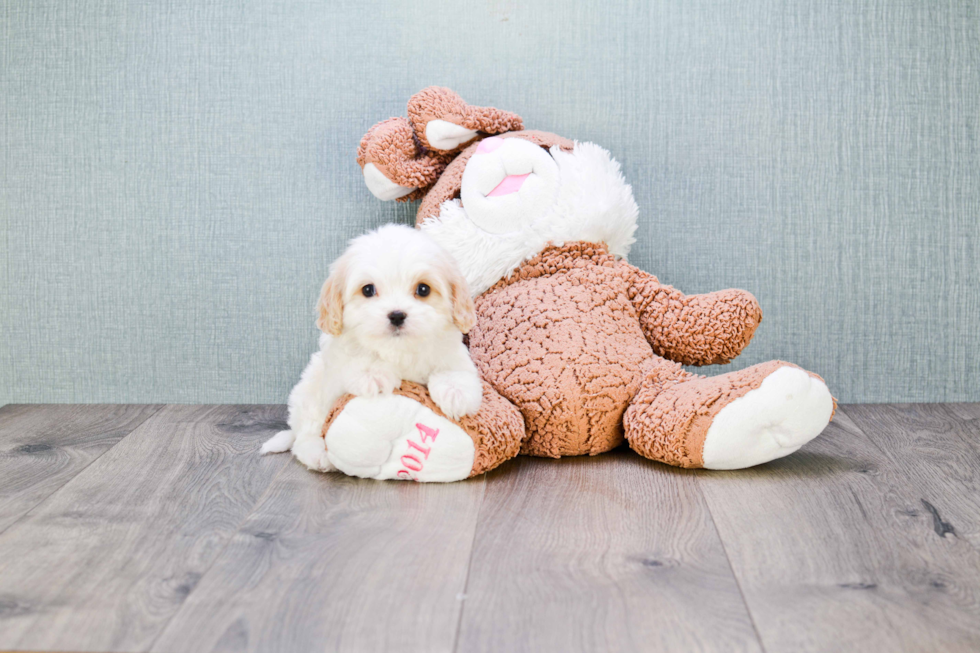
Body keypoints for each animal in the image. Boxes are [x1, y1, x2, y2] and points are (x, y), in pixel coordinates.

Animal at [262, 222, 484, 472]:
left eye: (423, 289)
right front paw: (374, 375)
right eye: (368, 290)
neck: (399, 350)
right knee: (306, 433)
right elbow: (360, 355)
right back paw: (316, 452)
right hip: (310, 391)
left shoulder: (452, 353)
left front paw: (456, 392)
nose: (396, 315)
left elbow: (454, 370)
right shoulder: (339, 354)